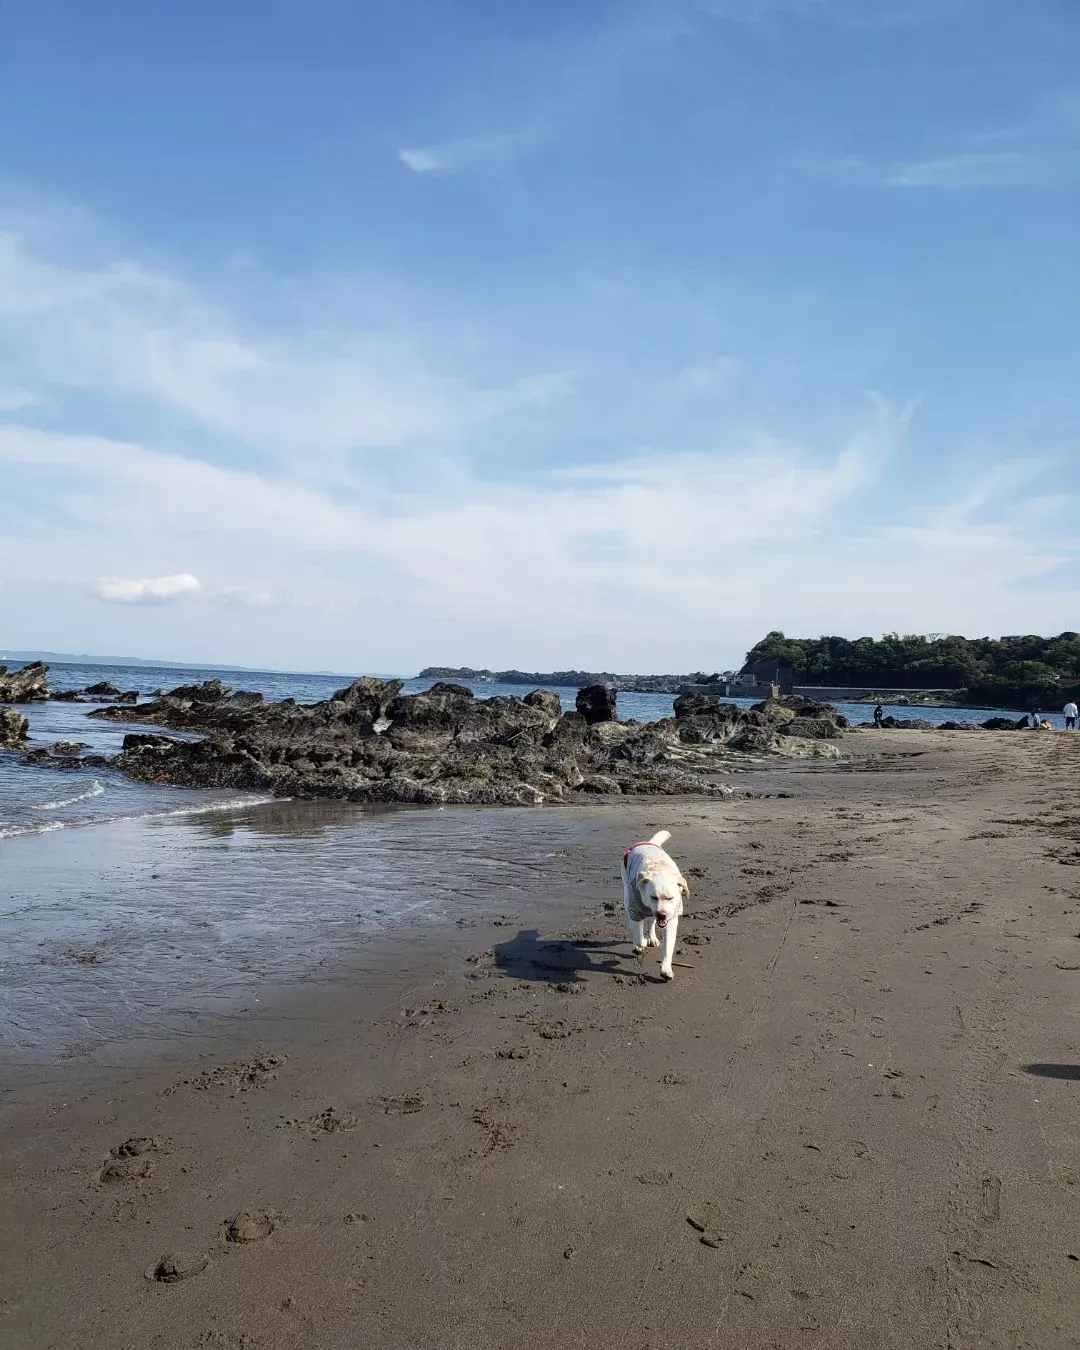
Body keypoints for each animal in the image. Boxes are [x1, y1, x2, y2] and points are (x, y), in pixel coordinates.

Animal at [621, 820, 688, 982]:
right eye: (653, 897)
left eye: (670, 898)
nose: (662, 914)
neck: (659, 869)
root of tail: (649, 843)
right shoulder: (635, 911)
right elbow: (639, 937)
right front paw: (641, 944)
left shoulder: (671, 919)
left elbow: (668, 947)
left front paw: (666, 969)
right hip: (627, 896)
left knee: (651, 922)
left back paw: (652, 938)